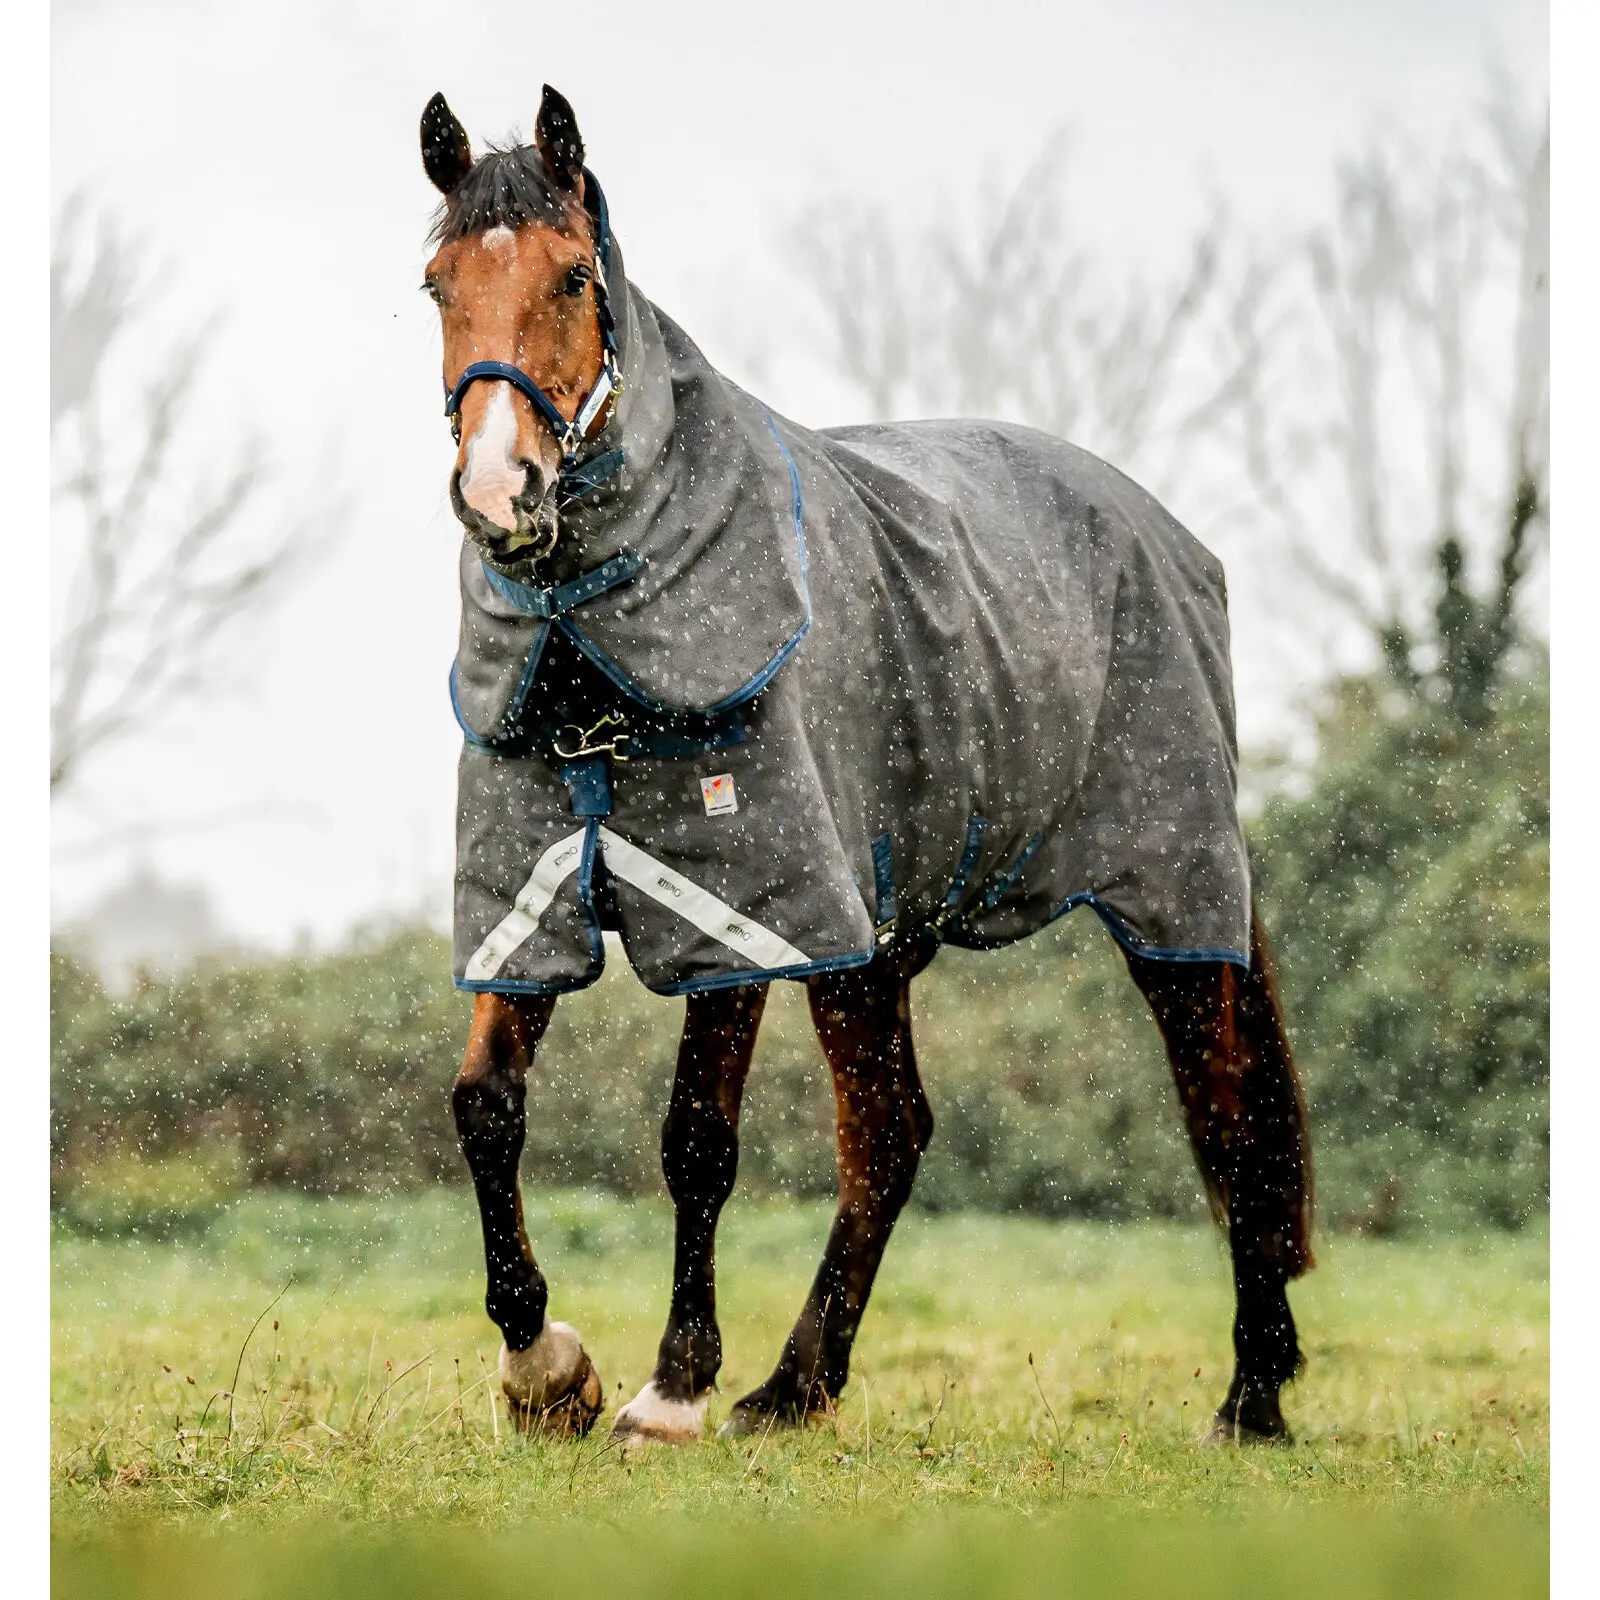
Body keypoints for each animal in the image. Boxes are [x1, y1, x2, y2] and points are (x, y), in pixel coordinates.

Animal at [419, 85, 1313, 1447]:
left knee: (1223, 1111)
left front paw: (669, 1387)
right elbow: (485, 1104)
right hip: (875, 937)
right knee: (889, 1132)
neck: (596, 662)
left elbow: (696, 1135)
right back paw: (795, 1385)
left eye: (574, 275)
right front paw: (545, 1368)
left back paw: (1250, 1396)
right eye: (435, 285)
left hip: (1170, 890)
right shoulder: (536, 890)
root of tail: (1165, 534)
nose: (498, 489)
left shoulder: (737, 898)